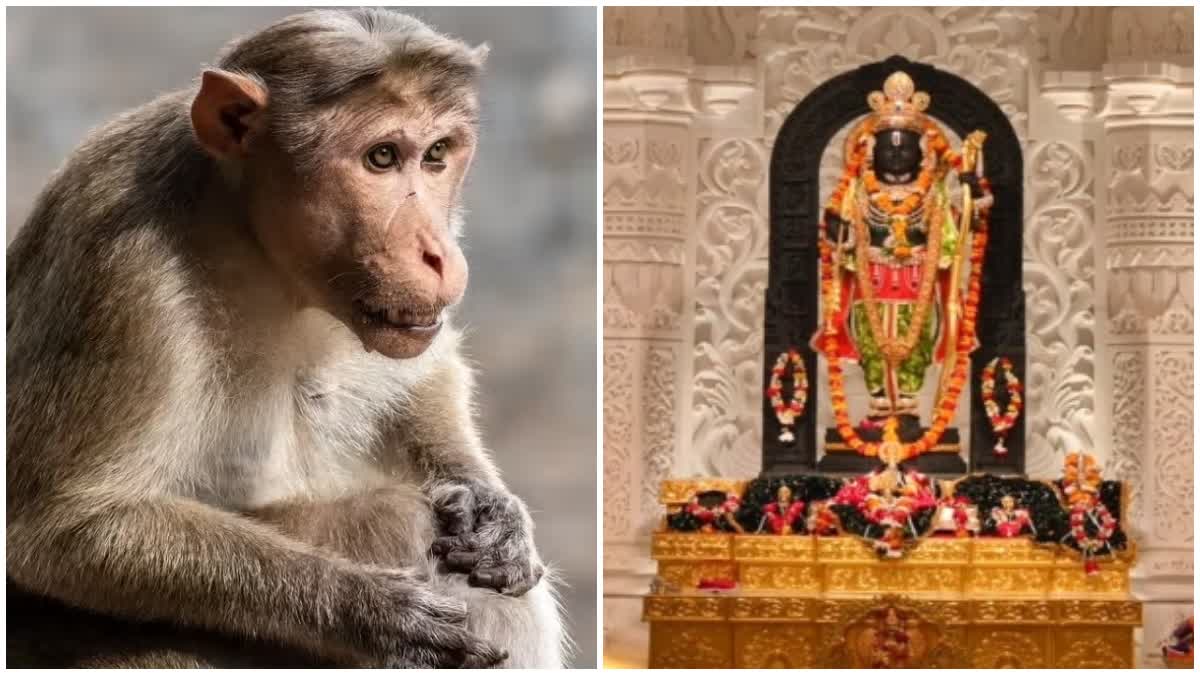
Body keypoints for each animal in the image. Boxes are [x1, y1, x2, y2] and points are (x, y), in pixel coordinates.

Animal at [6, 9, 567, 668]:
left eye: (436, 155)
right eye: (382, 157)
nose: (439, 253)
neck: (246, 235)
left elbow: (426, 375)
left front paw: (491, 505)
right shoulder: (121, 273)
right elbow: (65, 529)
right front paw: (370, 611)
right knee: (399, 520)